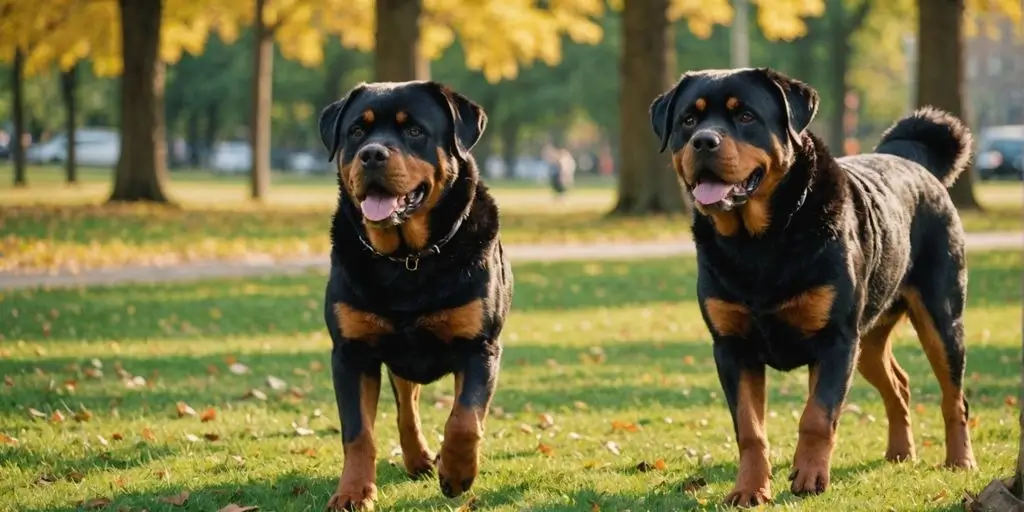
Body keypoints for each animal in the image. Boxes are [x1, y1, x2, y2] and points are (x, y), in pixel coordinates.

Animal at [317, 81, 512, 509]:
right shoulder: (351, 352)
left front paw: (457, 473)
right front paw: (353, 491)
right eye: (357, 131)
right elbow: (358, 432)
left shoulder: (480, 346)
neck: (408, 260)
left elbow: (465, 418)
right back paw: (418, 457)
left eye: (414, 130)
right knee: (407, 405)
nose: (372, 153)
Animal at [651, 67, 978, 503]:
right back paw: (899, 452)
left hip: (940, 320)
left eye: (746, 116)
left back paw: (960, 460)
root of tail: (909, 159)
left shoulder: (835, 340)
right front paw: (750, 489)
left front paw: (809, 477)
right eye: (689, 120)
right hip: (867, 341)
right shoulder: (732, 347)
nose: (704, 140)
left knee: (954, 398)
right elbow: (750, 429)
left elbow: (818, 416)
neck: (758, 243)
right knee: (899, 385)